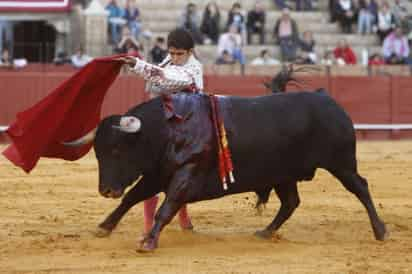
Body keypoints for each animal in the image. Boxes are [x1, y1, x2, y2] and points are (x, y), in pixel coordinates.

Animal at [75, 91, 388, 250]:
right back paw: (265, 232)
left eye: (117, 150)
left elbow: (167, 207)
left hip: (341, 163)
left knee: (361, 187)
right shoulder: (157, 174)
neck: (168, 128)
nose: (105, 190)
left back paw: (380, 230)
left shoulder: (186, 173)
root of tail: (329, 100)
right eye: (97, 152)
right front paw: (104, 227)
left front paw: (149, 241)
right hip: (284, 174)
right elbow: (132, 198)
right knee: (290, 202)